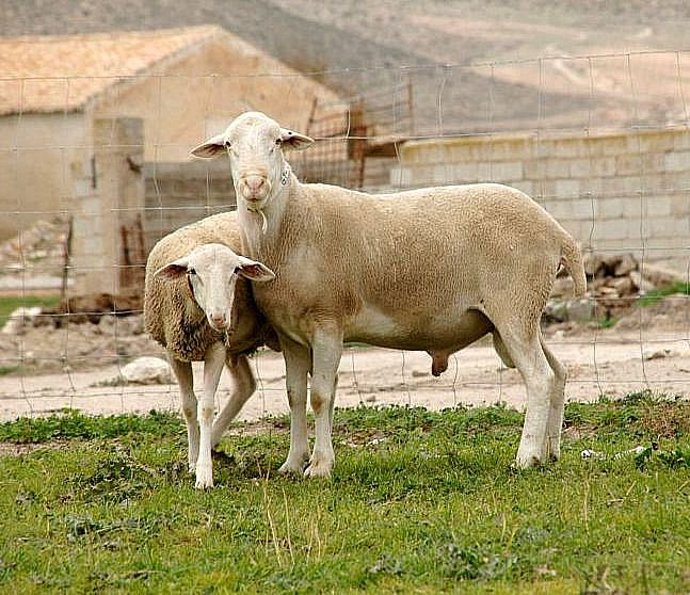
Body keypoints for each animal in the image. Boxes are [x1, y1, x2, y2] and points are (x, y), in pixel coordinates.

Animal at [144, 211, 276, 488]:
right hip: (233, 345)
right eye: (192, 271)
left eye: (236, 270)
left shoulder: (216, 347)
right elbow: (188, 406)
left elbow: (205, 407)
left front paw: (204, 474)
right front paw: (194, 460)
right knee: (246, 385)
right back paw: (212, 441)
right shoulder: (173, 350)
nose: (219, 318)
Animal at [190, 111, 587, 478]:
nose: (254, 183)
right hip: (523, 312)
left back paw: (526, 457)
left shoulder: (328, 322)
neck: (293, 222)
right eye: (229, 145)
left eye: (277, 142)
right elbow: (294, 395)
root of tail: (556, 232)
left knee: (539, 378)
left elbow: (321, 395)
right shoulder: (290, 334)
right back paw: (551, 452)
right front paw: (291, 463)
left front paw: (320, 466)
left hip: (514, 307)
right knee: (558, 372)